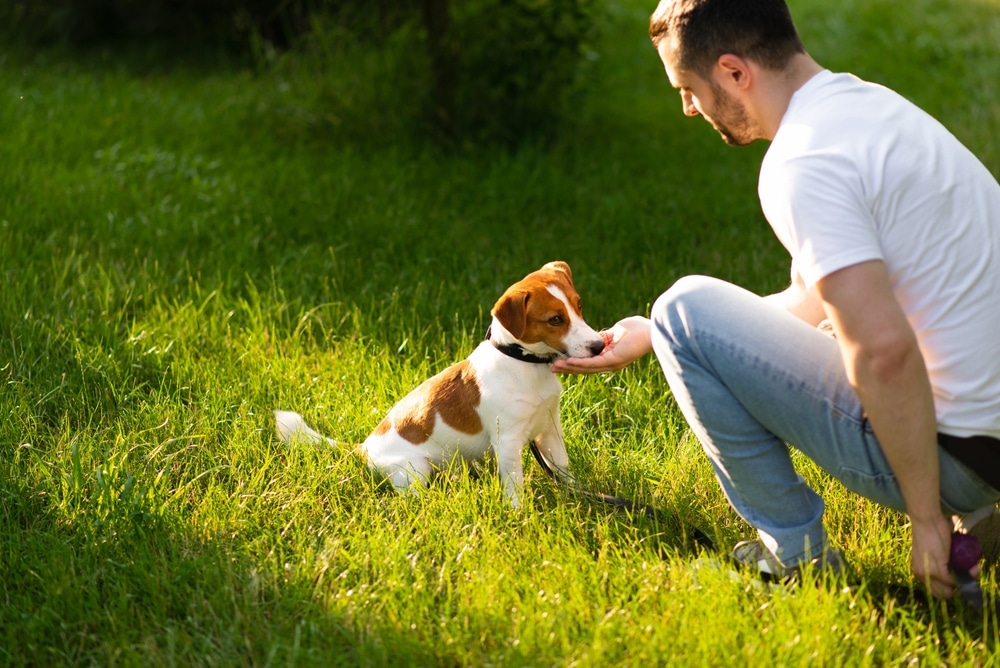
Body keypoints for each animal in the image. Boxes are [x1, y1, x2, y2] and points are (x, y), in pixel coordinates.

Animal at [270, 260, 604, 506]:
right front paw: (519, 515)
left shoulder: (549, 429)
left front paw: (577, 491)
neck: (524, 362)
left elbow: (562, 467)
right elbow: (514, 487)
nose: (599, 346)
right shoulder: (508, 442)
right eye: (555, 320)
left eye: (579, 306)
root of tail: (363, 448)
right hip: (413, 469)